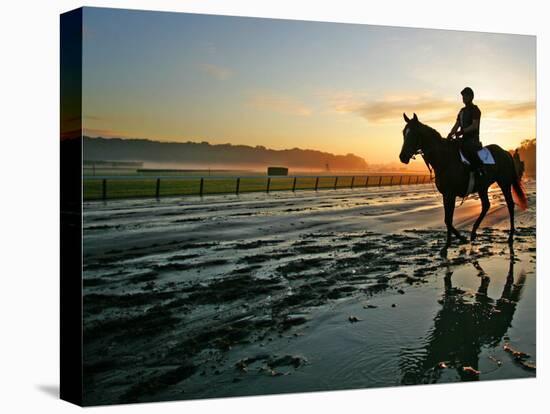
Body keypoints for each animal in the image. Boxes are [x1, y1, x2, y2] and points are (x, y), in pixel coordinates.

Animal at [402, 113, 532, 256]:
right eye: (404, 132)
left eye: (413, 133)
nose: (402, 157)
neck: (444, 158)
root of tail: (505, 152)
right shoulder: (446, 195)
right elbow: (447, 219)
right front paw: (459, 239)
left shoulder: (450, 194)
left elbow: (448, 219)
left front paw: (447, 245)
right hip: (483, 187)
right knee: (486, 205)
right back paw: (473, 232)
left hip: (504, 183)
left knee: (509, 204)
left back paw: (510, 236)